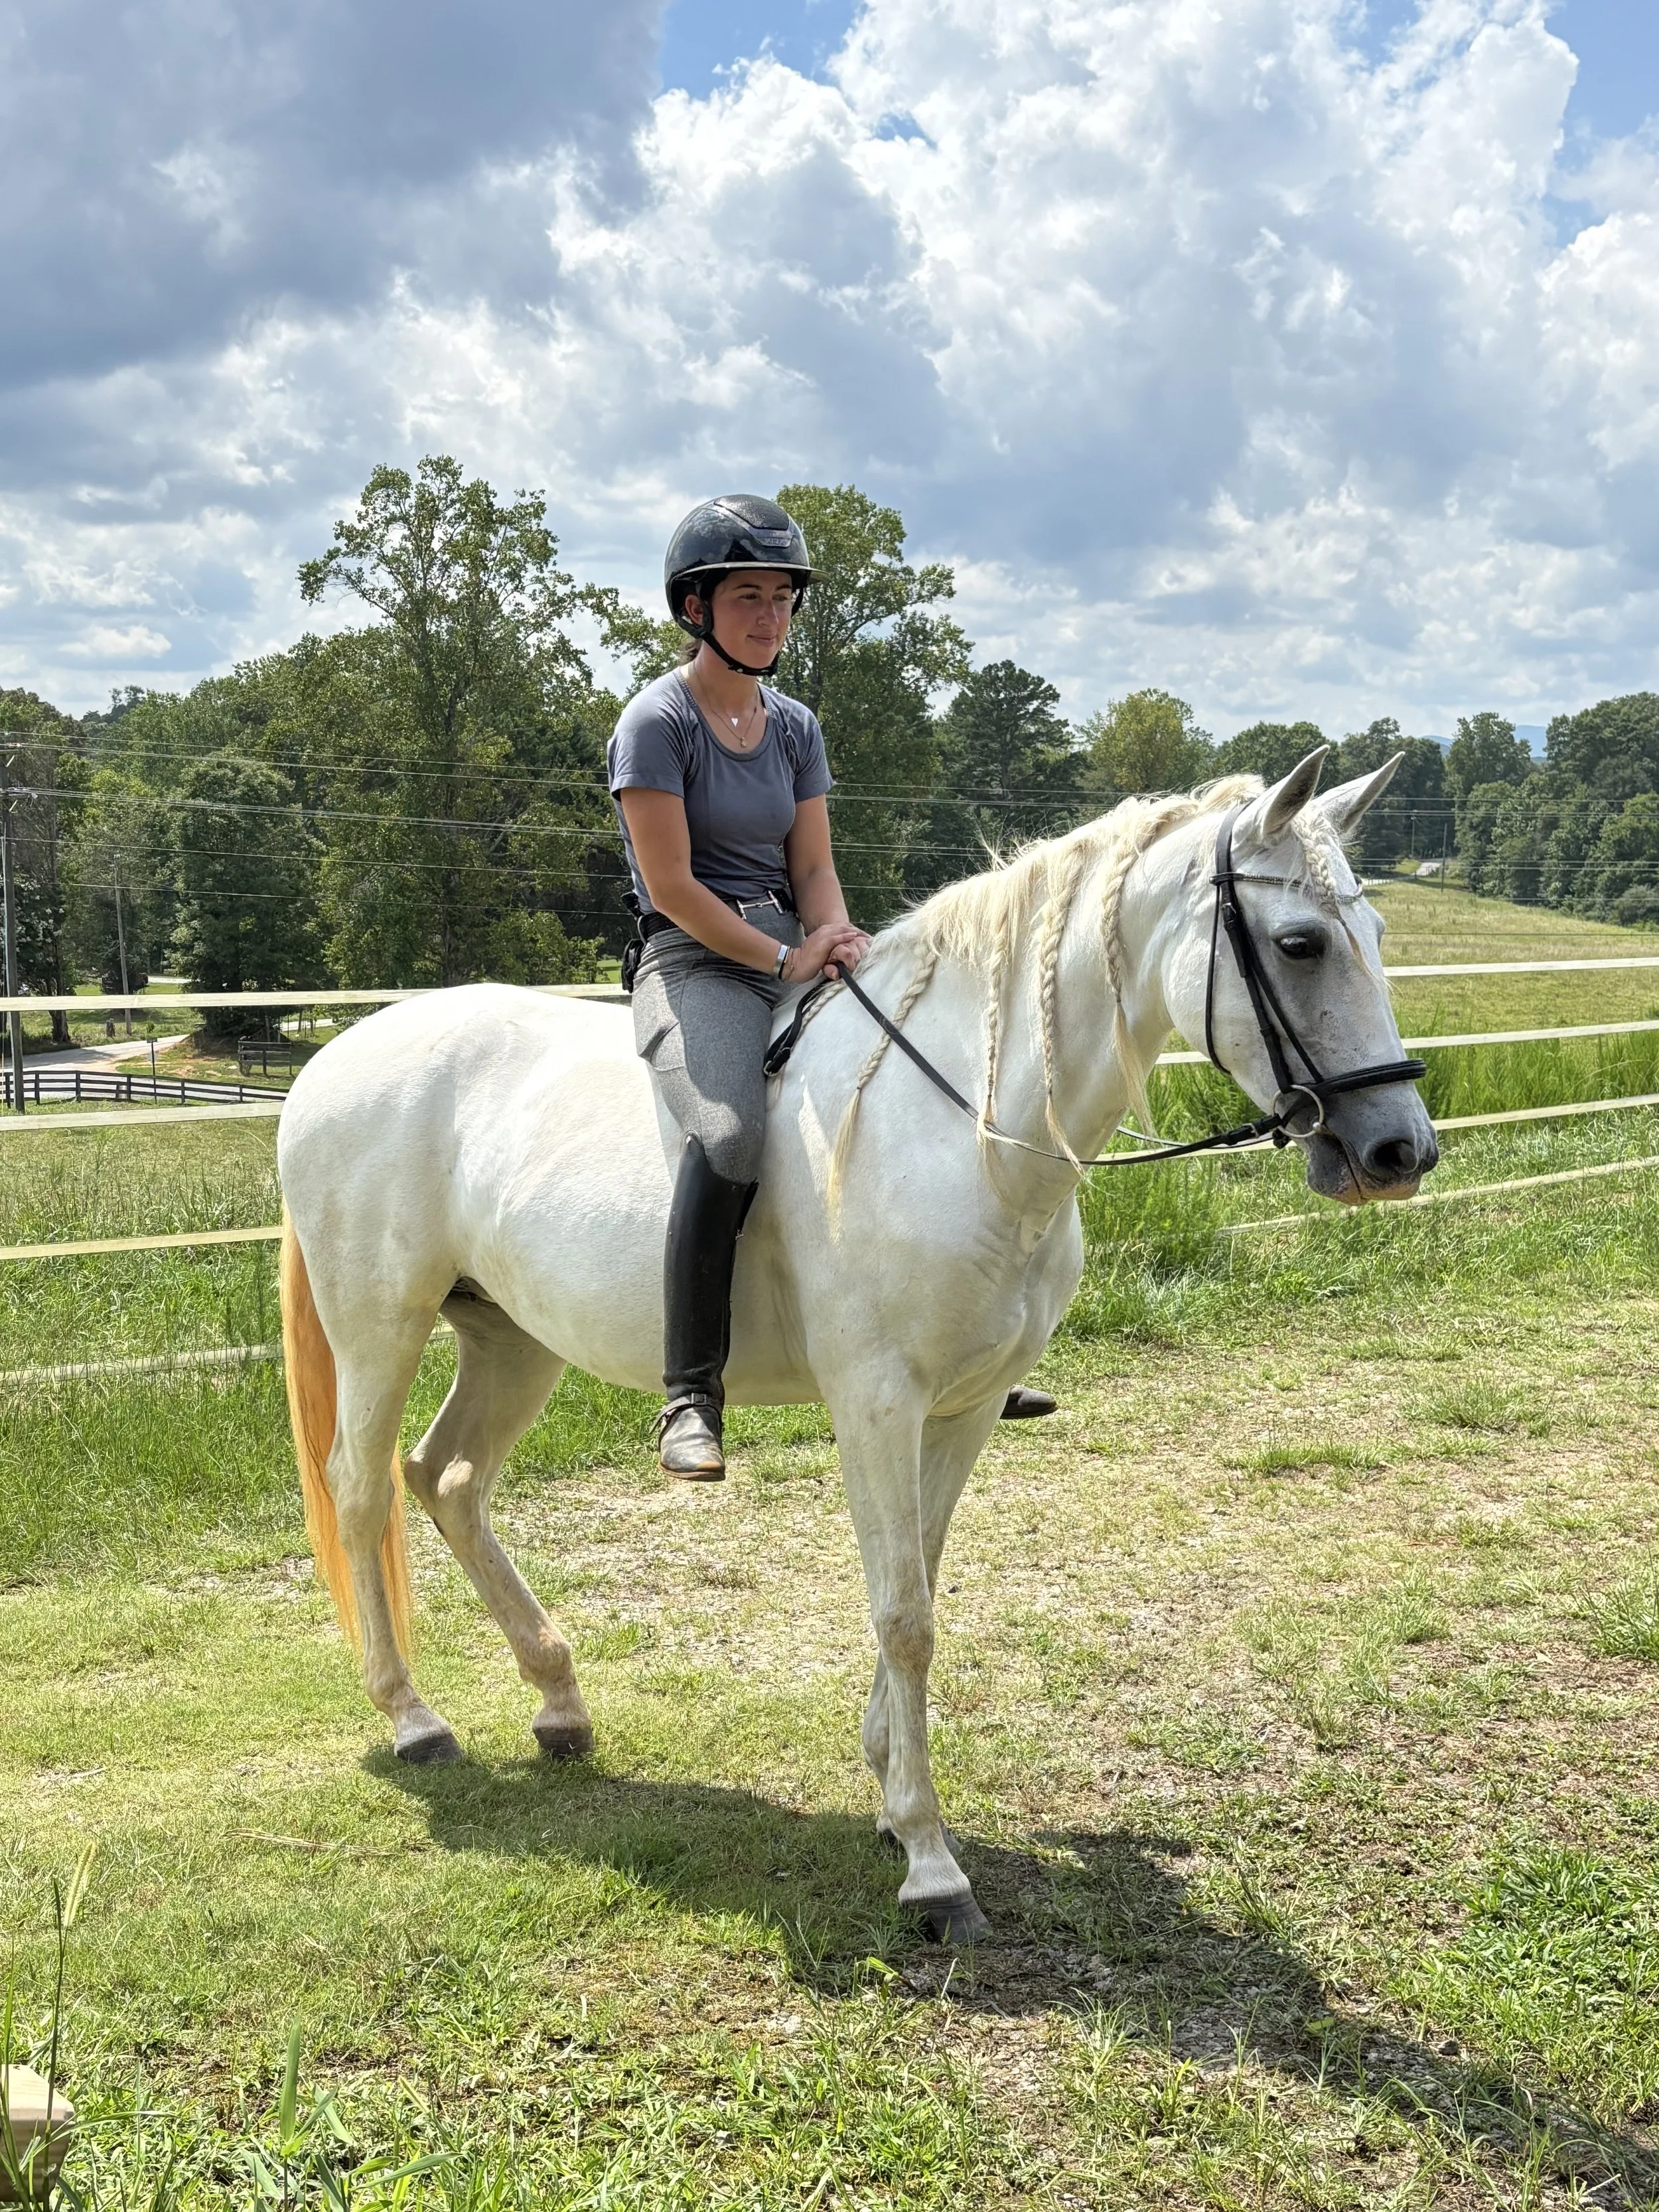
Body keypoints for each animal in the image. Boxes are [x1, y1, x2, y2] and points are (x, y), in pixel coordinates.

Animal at [277, 748, 1436, 1941]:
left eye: (1375, 933)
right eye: (1299, 943)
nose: (1400, 1150)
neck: (967, 1128)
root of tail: (335, 1061)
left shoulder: (962, 1410)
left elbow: (919, 1581)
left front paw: (888, 1791)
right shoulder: (877, 1402)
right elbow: (904, 1612)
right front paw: (931, 1862)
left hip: (511, 1339)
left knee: (448, 1479)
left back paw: (558, 1700)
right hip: (380, 1320)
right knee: (361, 1487)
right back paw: (414, 1717)